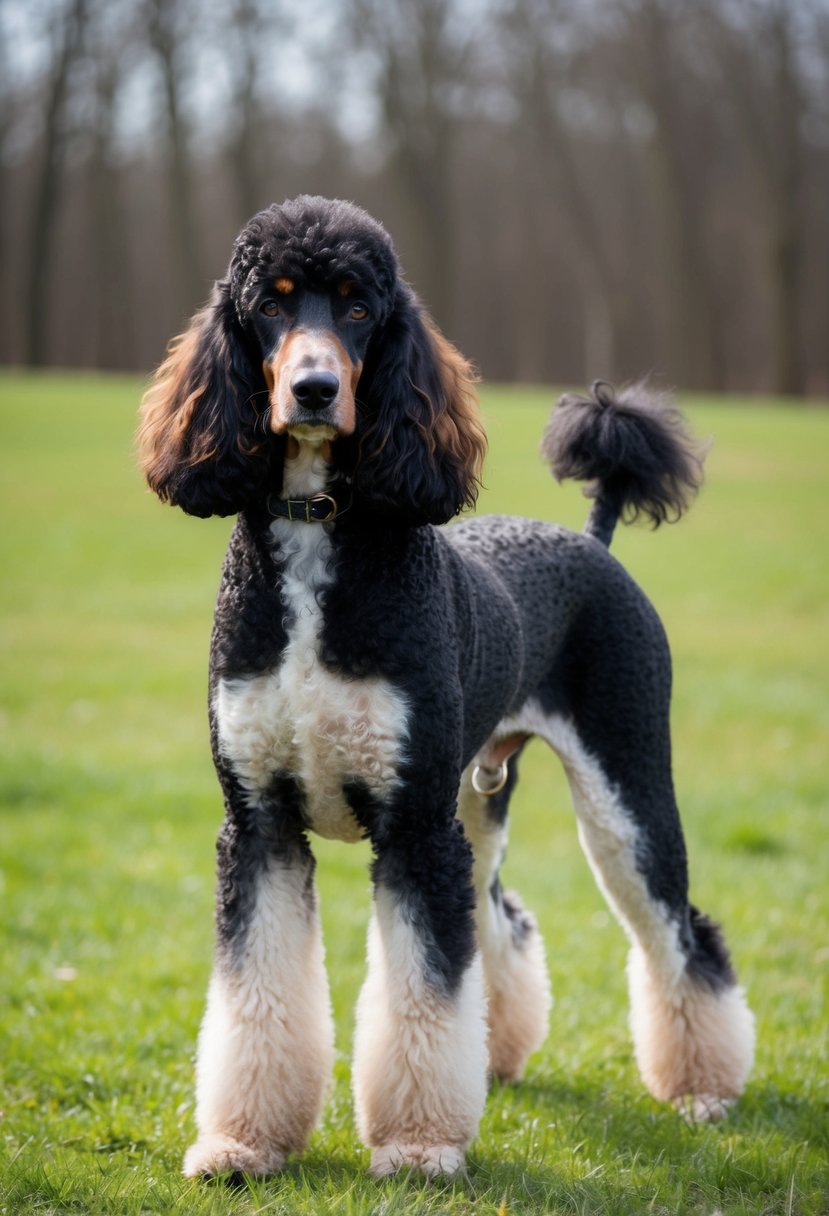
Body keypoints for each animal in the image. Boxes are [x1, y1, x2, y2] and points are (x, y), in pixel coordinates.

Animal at [138, 196, 753, 1177]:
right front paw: (241, 1144)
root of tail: (592, 541)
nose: (314, 390)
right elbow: (258, 995)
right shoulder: (263, 824)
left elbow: (422, 995)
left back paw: (700, 1090)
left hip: (622, 795)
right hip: (474, 800)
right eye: (270, 304)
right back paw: (498, 1055)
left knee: (680, 935)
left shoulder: (411, 833)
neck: (321, 543)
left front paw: (419, 1144)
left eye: (358, 308)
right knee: (502, 919)